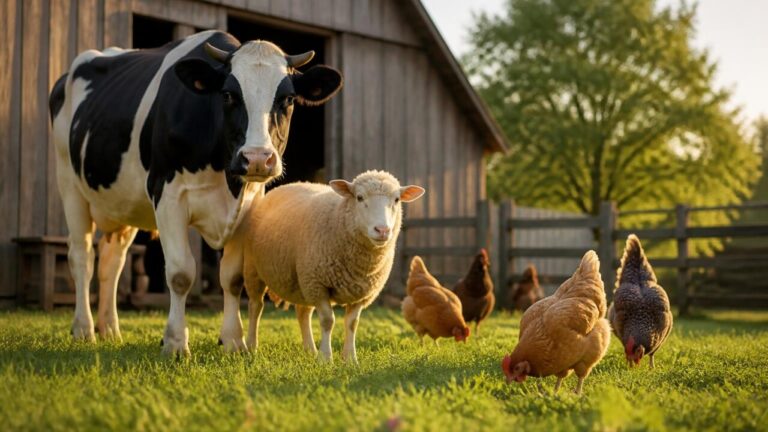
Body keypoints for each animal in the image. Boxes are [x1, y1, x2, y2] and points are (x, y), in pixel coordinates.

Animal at [49, 30, 343, 355]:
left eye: (288, 99)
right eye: (227, 95)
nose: (256, 158)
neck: (224, 177)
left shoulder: (248, 204)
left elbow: (232, 277)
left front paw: (233, 341)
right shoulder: (168, 195)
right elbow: (180, 274)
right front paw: (176, 343)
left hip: (123, 204)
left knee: (112, 263)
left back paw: (110, 330)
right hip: (69, 184)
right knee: (82, 258)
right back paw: (84, 328)